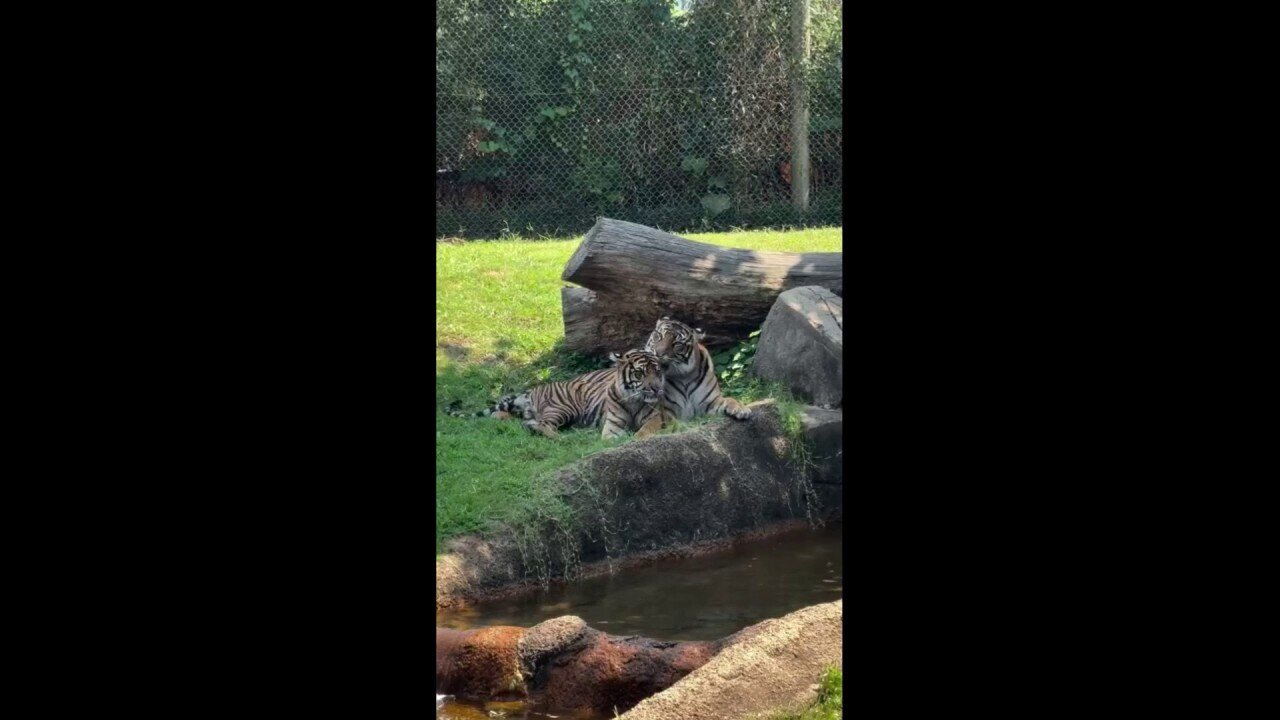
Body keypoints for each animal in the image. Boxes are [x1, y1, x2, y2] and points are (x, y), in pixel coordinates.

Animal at [445, 348, 665, 438]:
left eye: (657, 371)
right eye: (640, 373)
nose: (656, 388)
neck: (633, 400)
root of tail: (532, 390)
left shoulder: (657, 418)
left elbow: (646, 430)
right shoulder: (613, 424)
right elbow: (612, 437)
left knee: (515, 418)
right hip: (564, 407)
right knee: (539, 425)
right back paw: (565, 438)